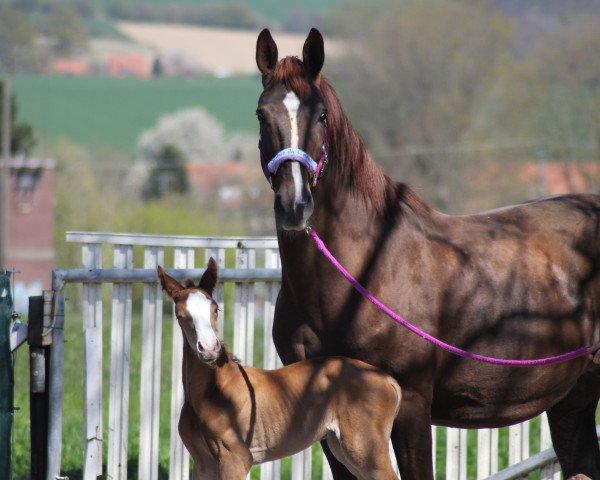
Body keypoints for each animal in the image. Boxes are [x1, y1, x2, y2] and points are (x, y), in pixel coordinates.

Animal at [159, 258, 404, 480]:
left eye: (216, 309)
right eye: (180, 315)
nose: (209, 349)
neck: (211, 392)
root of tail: (386, 378)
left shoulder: (236, 459)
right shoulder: (203, 464)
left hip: (366, 450)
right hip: (341, 447)